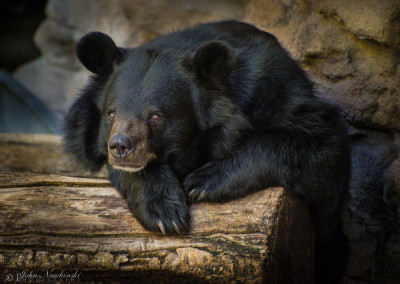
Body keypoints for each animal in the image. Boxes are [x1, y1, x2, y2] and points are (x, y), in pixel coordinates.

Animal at [63, 20, 350, 282]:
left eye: (156, 116)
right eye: (111, 113)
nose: (120, 147)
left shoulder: (277, 90)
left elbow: (317, 142)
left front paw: (201, 182)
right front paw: (165, 213)